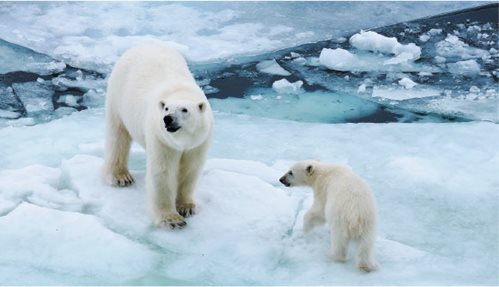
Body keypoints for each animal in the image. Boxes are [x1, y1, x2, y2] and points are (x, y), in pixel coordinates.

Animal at [104, 45, 214, 230]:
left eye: (184, 110)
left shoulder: (198, 143)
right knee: (118, 136)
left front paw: (186, 207)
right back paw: (121, 177)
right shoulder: (161, 138)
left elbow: (190, 170)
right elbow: (163, 172)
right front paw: (172, 219)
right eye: (166, 108)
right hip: (117, 97)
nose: (167, 119)